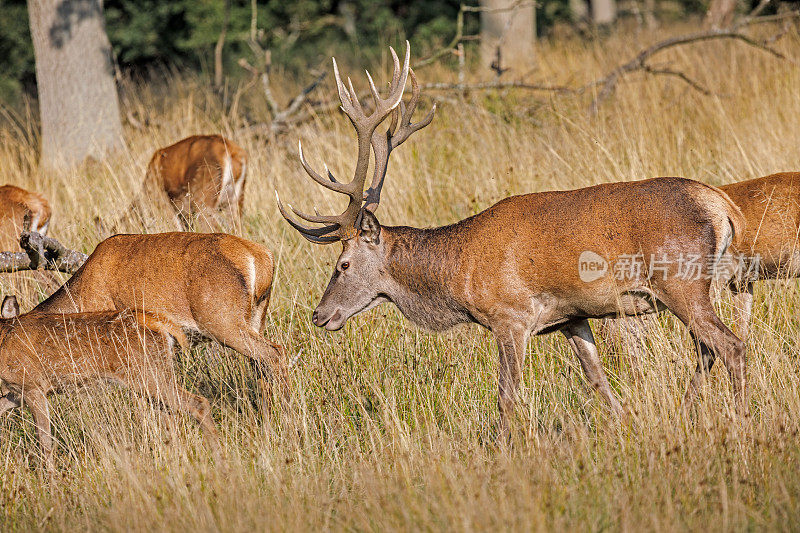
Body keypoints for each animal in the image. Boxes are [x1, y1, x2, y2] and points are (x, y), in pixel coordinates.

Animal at [0, 298, 220, 468]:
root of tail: (157, 322)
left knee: (198, 403)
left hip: (147, 375)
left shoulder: (33, 385)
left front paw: (50, 481)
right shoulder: (18, 392)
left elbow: (45, 440)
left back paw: (218, 458)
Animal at [278, 42, 748, 424]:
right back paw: (687, 412)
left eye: (343, 264)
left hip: (681, 281)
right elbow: (599, 382)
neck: (458, 275)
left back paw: (741, 421)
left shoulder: (510, 316)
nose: (319, 314)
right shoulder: (571, 316)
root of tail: (723, 207)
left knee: (730, 346)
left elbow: (507, 397)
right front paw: (627, 424)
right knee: (707, 349)